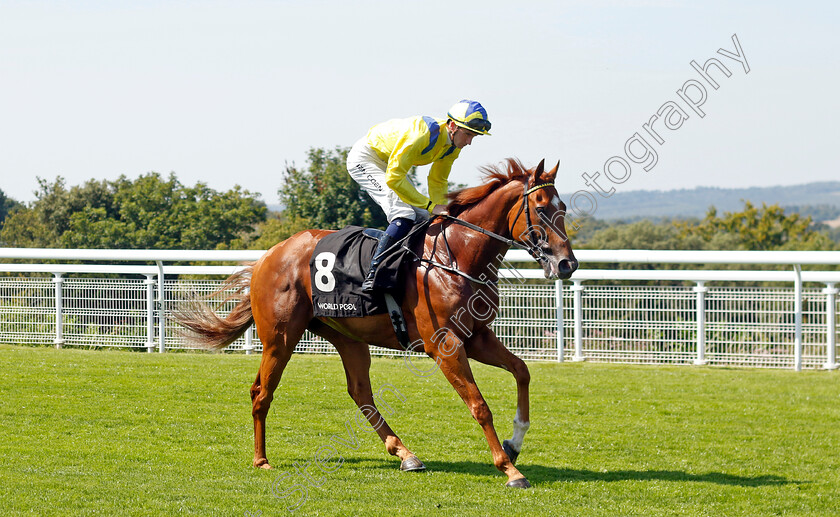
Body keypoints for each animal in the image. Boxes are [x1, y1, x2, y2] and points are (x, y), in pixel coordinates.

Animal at [177, 158, 576, 488]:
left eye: (563, 208)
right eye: (541, 208)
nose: (567, 264)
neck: (457, 257)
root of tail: (267, 256)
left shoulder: (476, 336)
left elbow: (522, 371)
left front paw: (515, 441)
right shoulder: (444, 345)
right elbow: (479, 405)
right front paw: (510, 470)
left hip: (347, 336)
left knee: (360, 393)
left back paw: (405, 454)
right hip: (280, 338)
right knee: (262, 392)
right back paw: (261, 460)